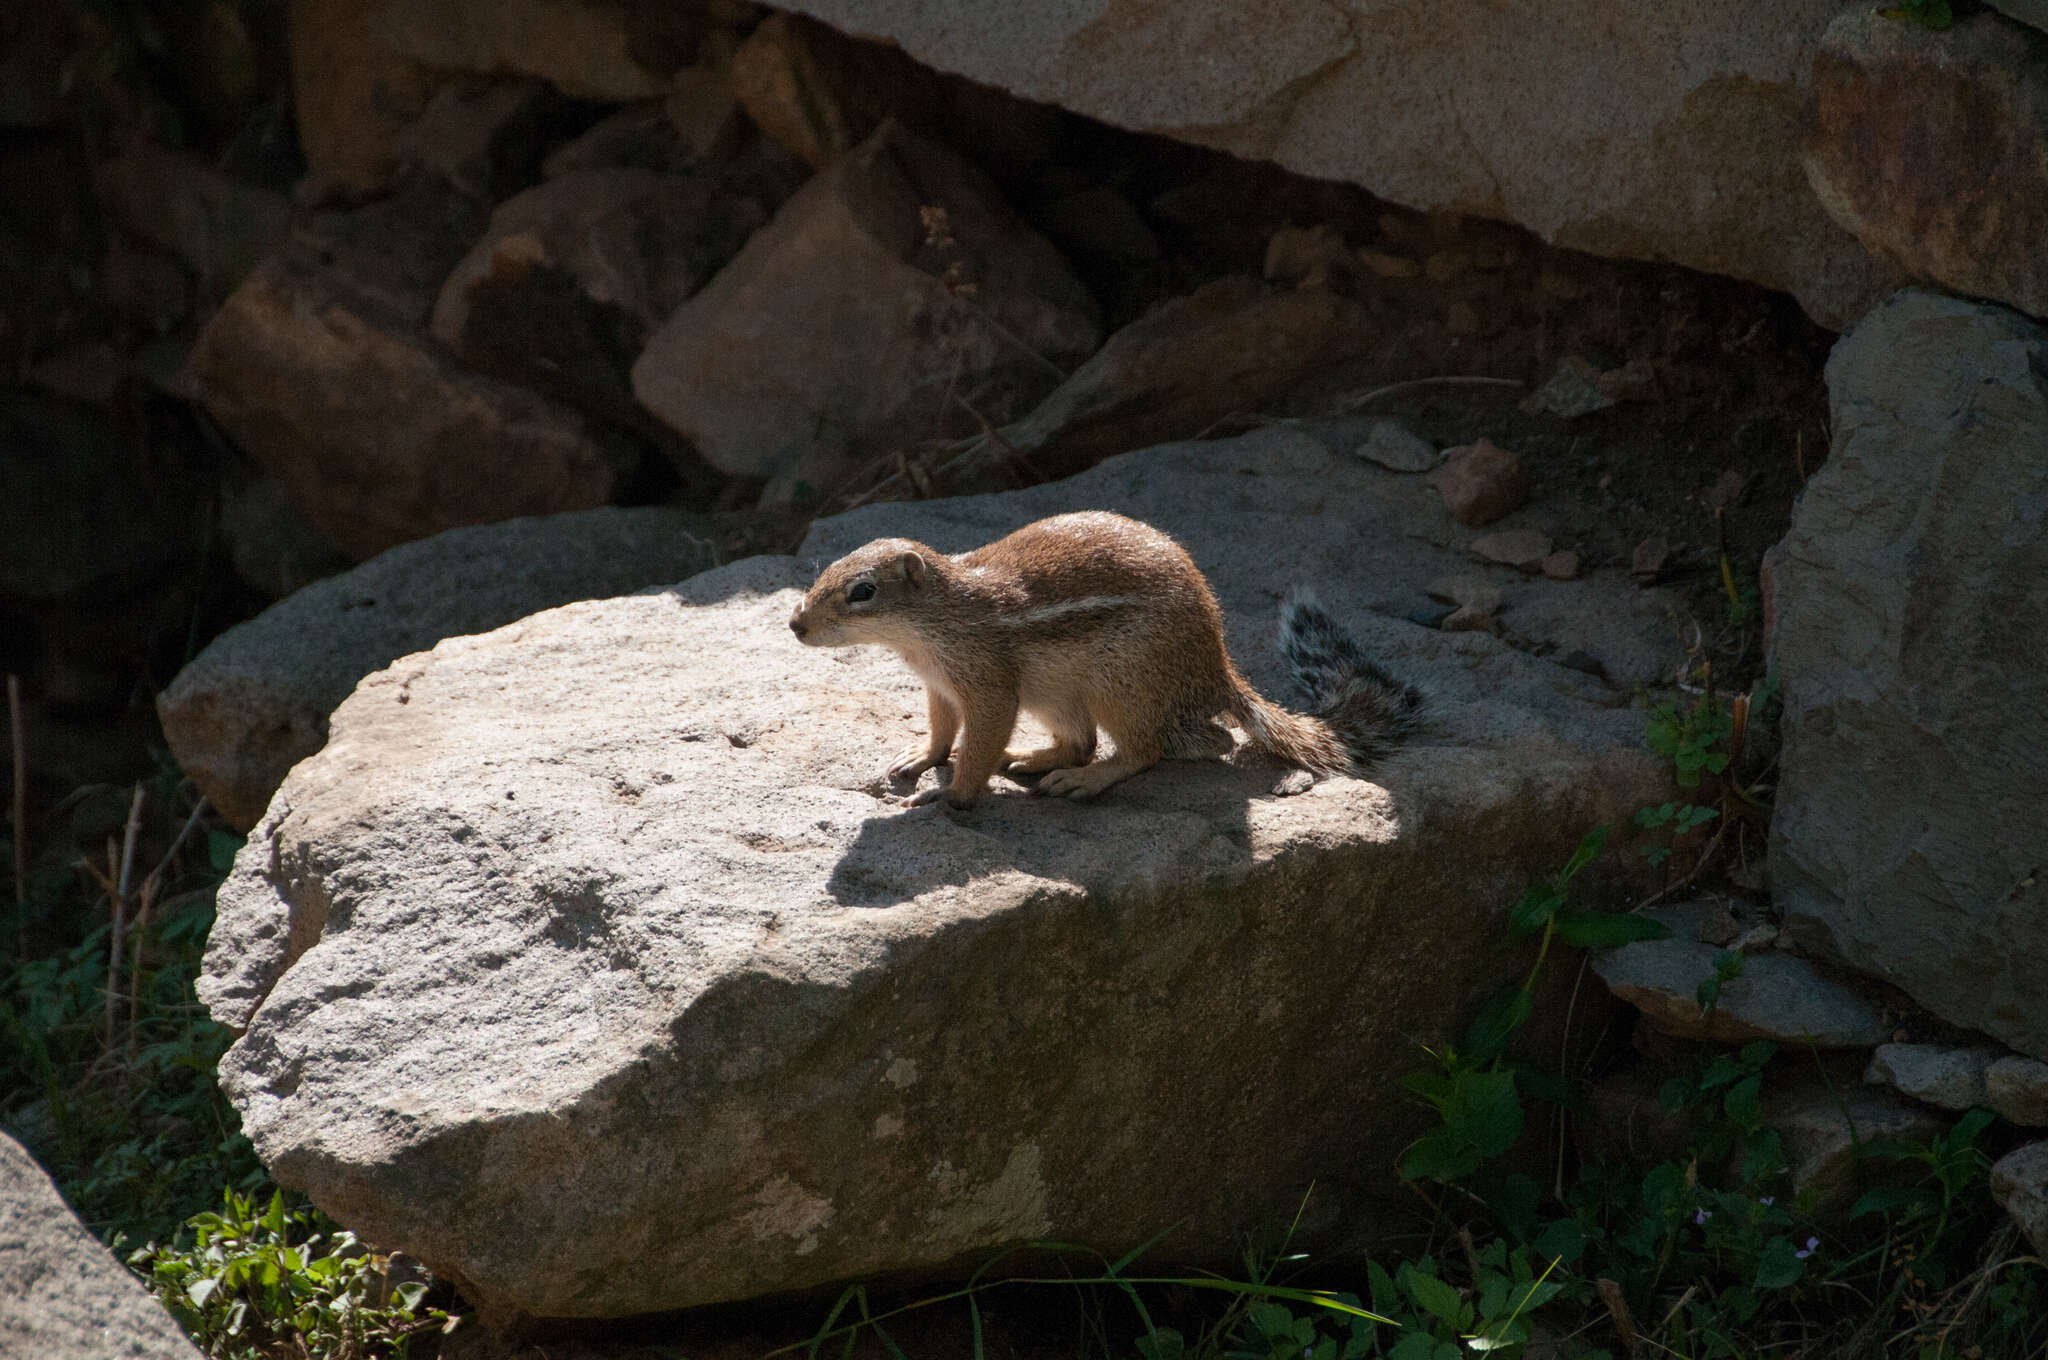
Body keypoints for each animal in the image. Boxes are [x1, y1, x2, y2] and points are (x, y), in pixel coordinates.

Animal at [786, 510, 1425, 806]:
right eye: (828, 567)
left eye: (863, 591)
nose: (794, 624)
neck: (927, 630)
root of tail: (1218, 669)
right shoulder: (939, 686)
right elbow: (944, 731)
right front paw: (921, 757)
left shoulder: (987, 682)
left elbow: (980, 738)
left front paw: (953, 794)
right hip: (1059, 695)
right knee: (1085, 740)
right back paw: (1032, 758)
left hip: (1120, 683)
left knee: (1158, 748)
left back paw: (1082, 781)